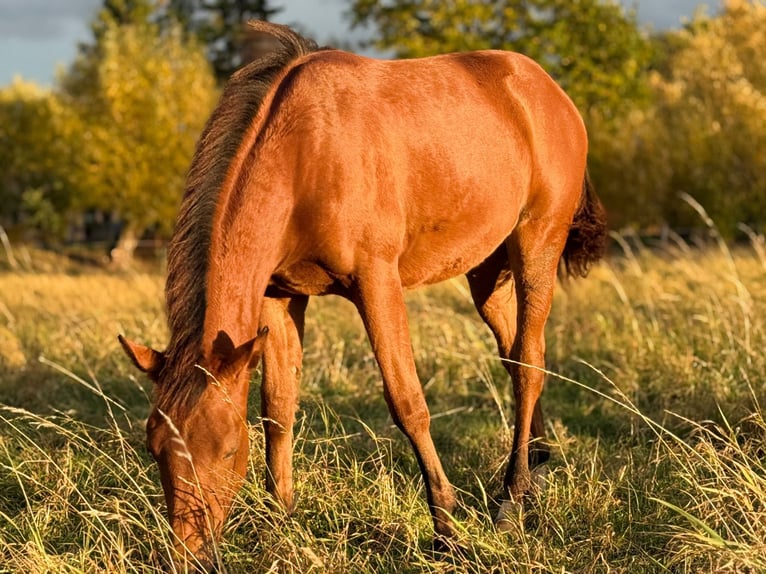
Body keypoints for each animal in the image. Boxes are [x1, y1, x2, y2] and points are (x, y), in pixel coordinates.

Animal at [119, 20, 607, 571]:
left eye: (225, 450)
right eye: (155, 446)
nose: (188, 556)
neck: (304, 155)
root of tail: (548, 91)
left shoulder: (377, 283)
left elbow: (407, 402)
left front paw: (447, 532)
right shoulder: (279, 298)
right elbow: (278, 408)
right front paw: (281, 520)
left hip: (536, 245)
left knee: (529, 363)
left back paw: (511, 501)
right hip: (486, 271)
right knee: (514, 355)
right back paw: (534, 474)